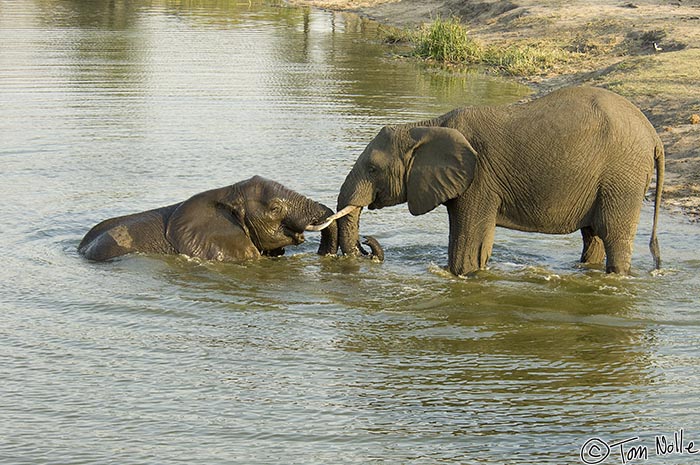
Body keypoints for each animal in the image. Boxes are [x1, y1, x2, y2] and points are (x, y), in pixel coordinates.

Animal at [330, 85, 664, 274]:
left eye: (373, 169)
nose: (367, 242)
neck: (426, 126)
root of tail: (654, 135)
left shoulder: (480, 179)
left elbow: (469, 247)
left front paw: (459, 275)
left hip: (622, 176)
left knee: (613, 235)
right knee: (593, 235)